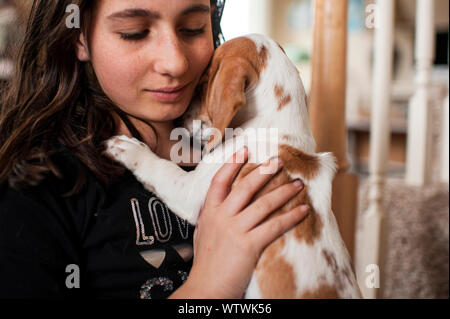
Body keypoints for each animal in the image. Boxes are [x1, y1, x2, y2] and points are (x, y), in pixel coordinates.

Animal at [106, 33, 362, 298]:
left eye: (203, 84)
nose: (179, 118)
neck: (277, 128)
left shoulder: (188, 191)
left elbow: (159, 167)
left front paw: (128, 147)